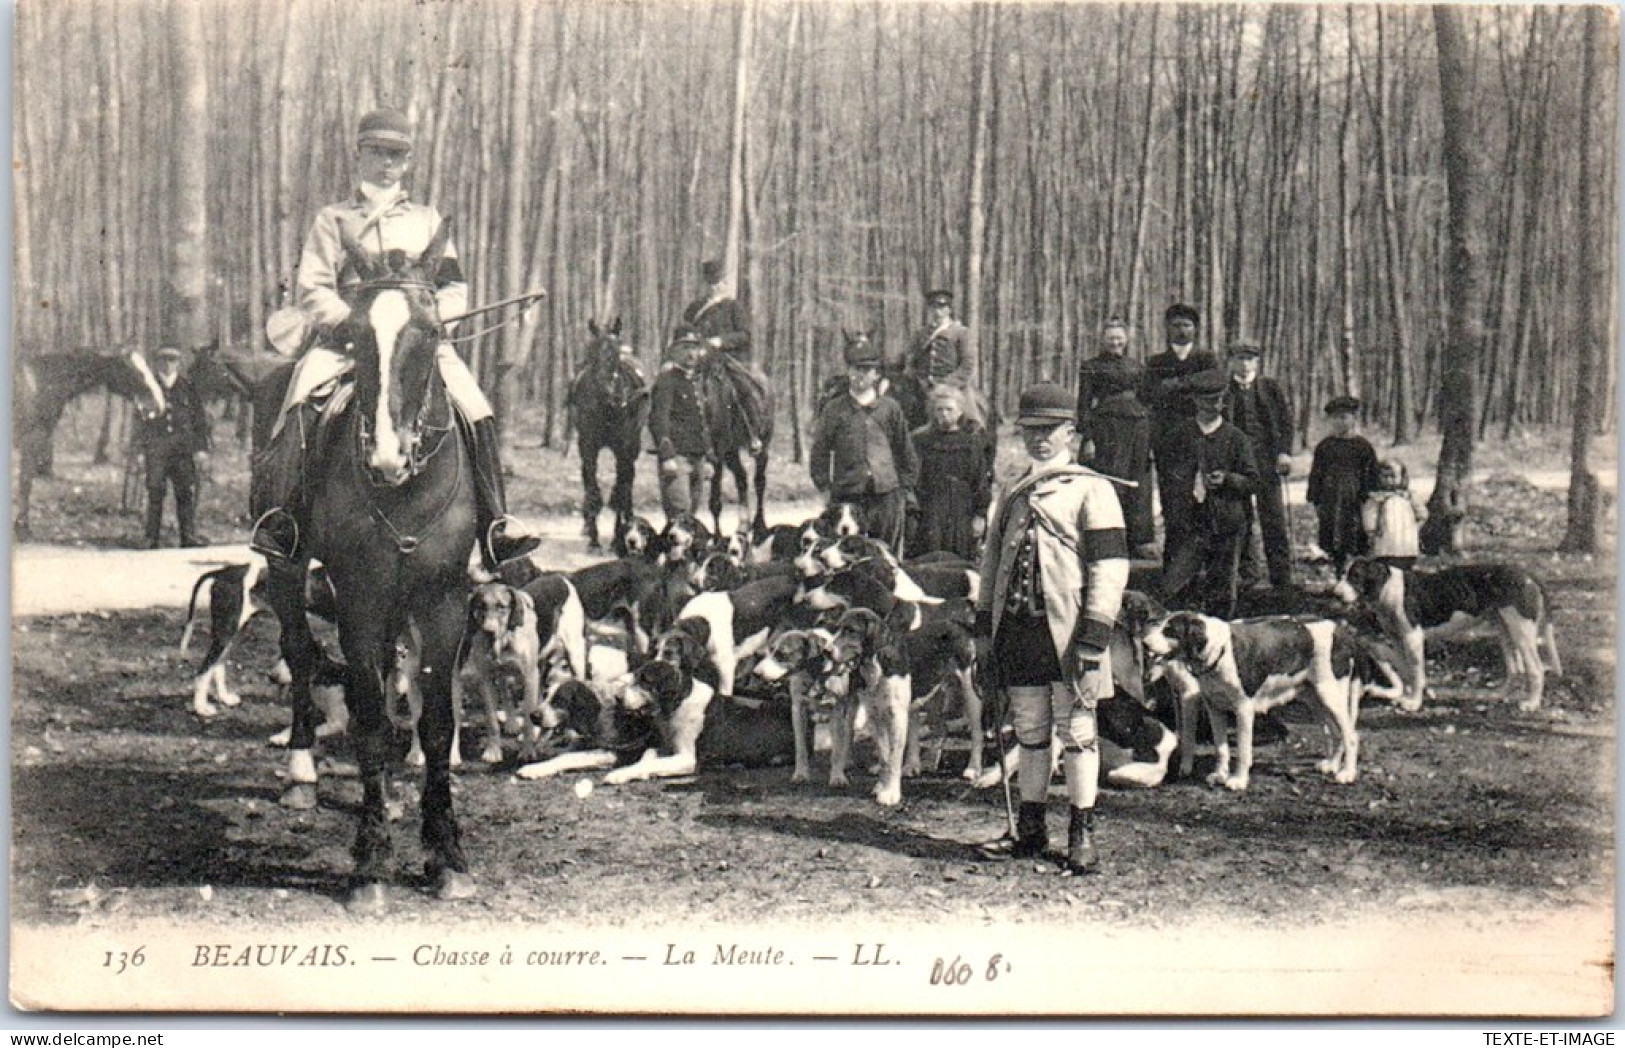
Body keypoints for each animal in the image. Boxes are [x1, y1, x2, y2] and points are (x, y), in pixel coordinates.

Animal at [263, 220, 477, 909]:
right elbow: (367, 721)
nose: (386, 457)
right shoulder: (357, 597)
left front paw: (446, 856)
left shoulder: (443, 600)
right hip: (286, 572)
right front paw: (371, 862)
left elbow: (434, 721)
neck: (404, 491)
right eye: (356, 335)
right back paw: (302, 771)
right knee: (302, 654)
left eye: (431, 332)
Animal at [568, 318, 650, 555]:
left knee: (628, 479)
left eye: (615, 353)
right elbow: (592, 488)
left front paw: (615, 539)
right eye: (593, 352)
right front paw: (594, 539)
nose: (610, 391)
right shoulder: (588, 446)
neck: (608, 407)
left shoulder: (624, 448)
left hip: (634, 446)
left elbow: (622, 489)